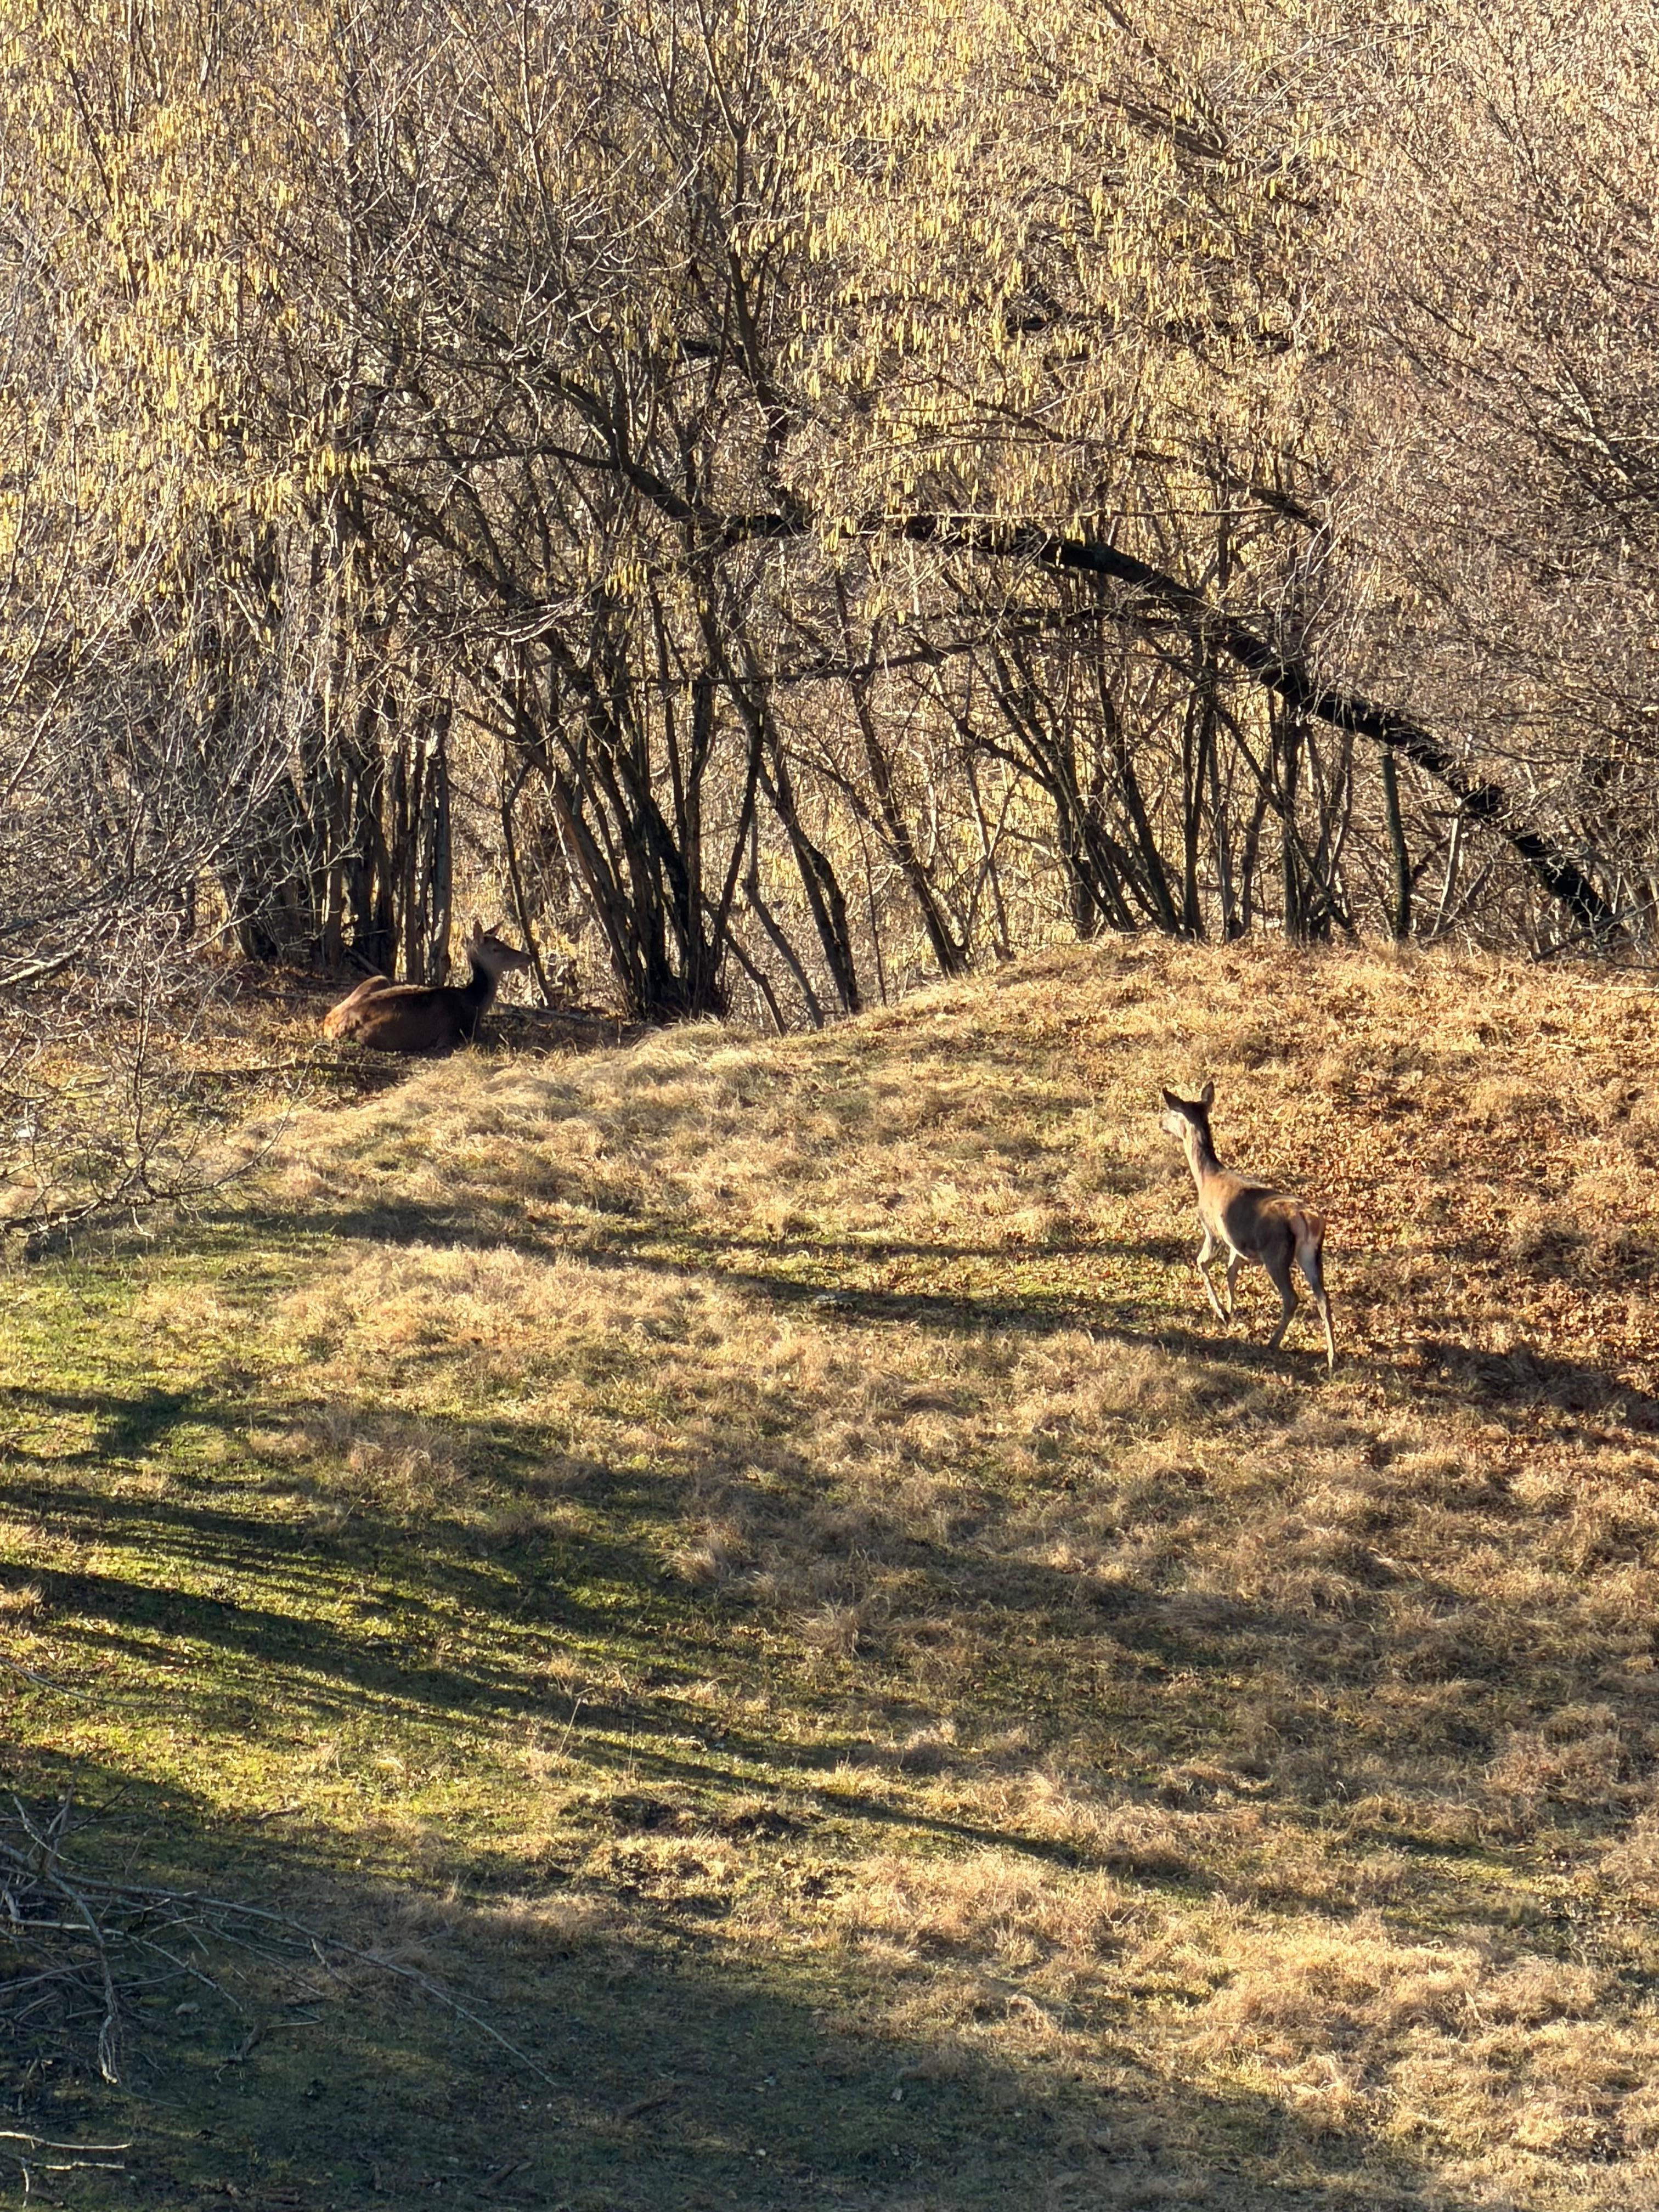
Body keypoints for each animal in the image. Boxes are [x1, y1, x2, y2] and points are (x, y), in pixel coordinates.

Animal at [322, 921, 535, 1054]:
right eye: (496, 949)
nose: (528, 956)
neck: (475, 1003)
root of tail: (330, 1025)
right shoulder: (454, 1034)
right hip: (376, 1036)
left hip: (378, 978)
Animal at [1159, 1081, 1335, 1370]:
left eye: (1174, 1112)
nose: (1161, 1122)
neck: (1206, 1178)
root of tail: (1307, 1218)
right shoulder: (1238, 1242)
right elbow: (1231, 1272)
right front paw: (1232, 1310)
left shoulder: (1213, 1229)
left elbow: (1202, 1262)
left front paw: (1221, 1311)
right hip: (1310, 1254)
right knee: (1323, 1297)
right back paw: (1332, 1356)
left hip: (1275, 1253)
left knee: (1292, 1298)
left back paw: (1274, 1342)